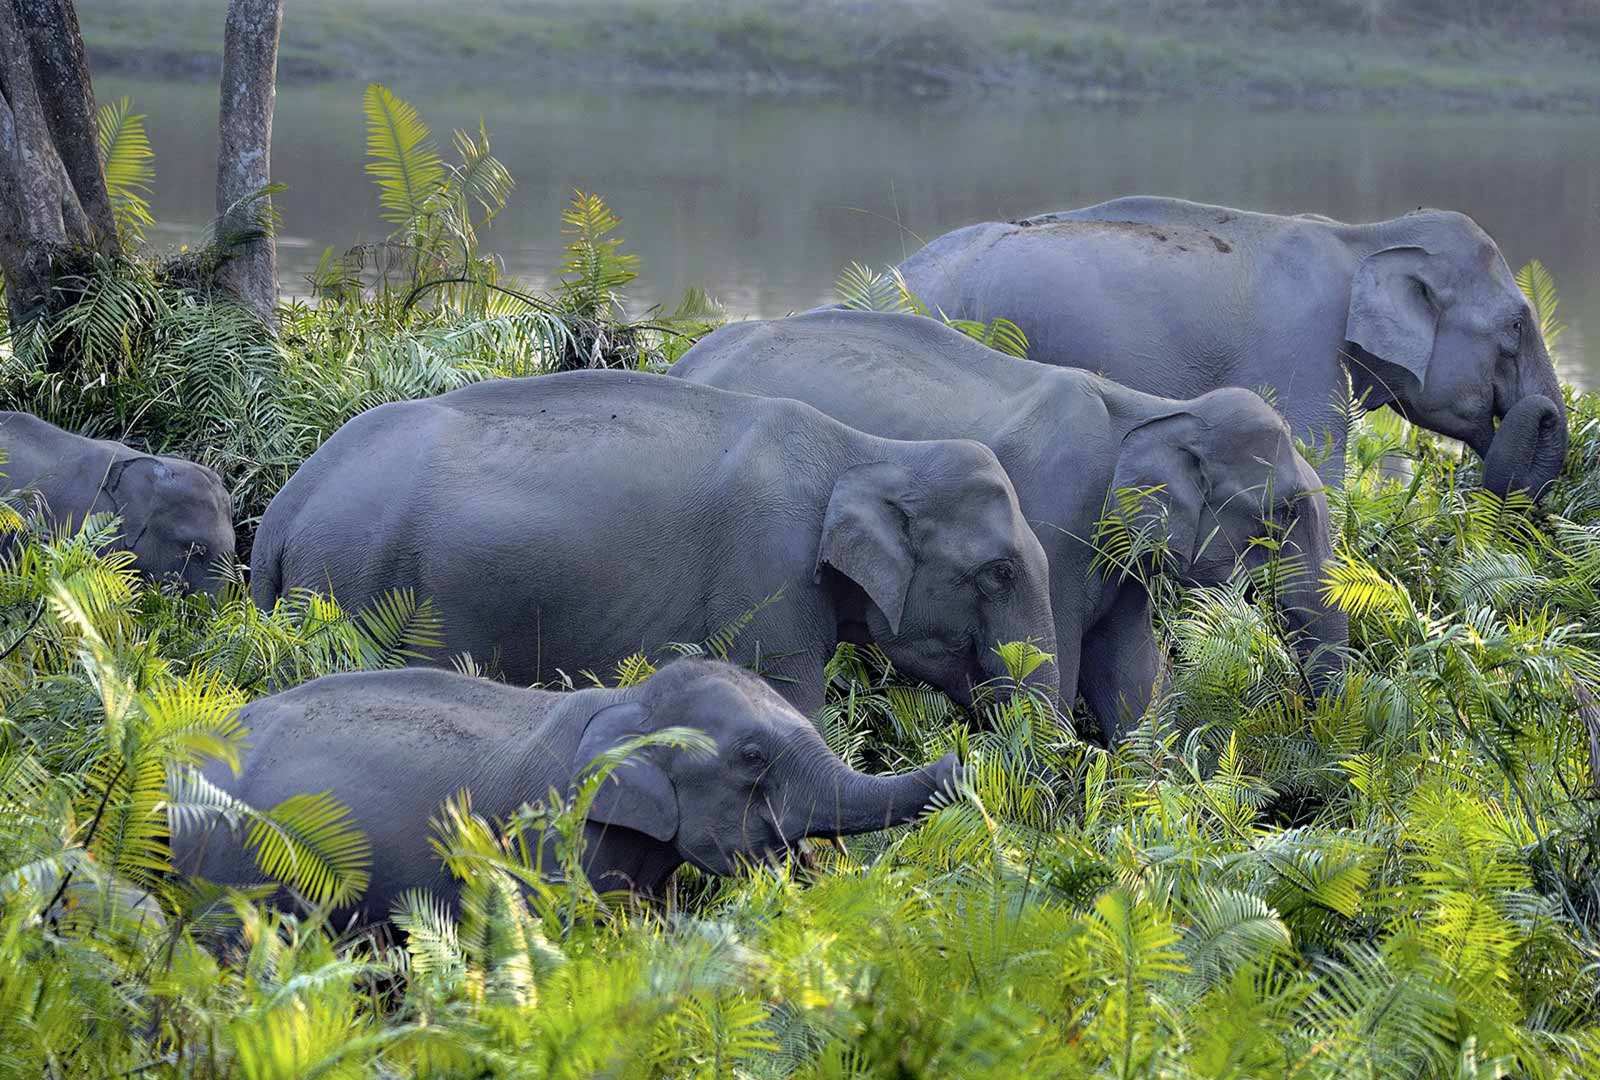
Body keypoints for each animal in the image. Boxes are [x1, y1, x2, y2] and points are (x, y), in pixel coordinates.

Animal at [250, 371, 1058, 714]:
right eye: (997, 574)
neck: (869, 448)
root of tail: (285, 510)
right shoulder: (765, 572)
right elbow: (787, 696)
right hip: (354, 582)